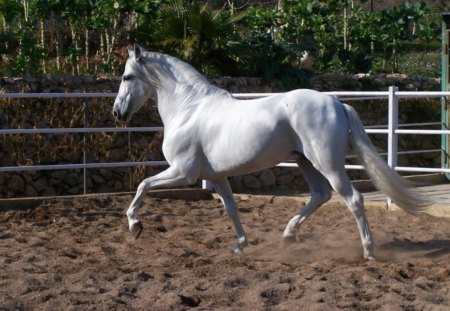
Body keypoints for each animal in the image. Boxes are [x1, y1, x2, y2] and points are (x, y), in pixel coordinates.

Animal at [111, 45, 428, 260]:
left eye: (127, 77)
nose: (117, 112)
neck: (189, 108)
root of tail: (337, 103)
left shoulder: (182, 172)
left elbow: (143, 186)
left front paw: (135, 225)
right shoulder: (217, 178)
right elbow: (231, 209)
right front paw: (239, 245)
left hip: (328, 165)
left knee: (353, 199)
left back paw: (368, 251)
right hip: (305, 162)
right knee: (320, 195)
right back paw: (288, 235)